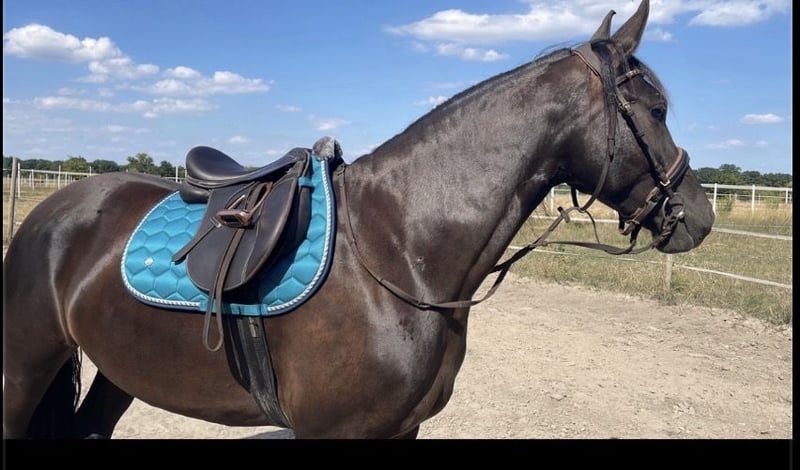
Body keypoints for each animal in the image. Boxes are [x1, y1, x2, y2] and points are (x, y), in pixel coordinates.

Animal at [3, 0, 714, 439]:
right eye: (655, 109)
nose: (699, 217)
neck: (397, 249)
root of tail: (53, 213)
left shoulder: (404, 428)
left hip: (118, 368)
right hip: (25, 365)